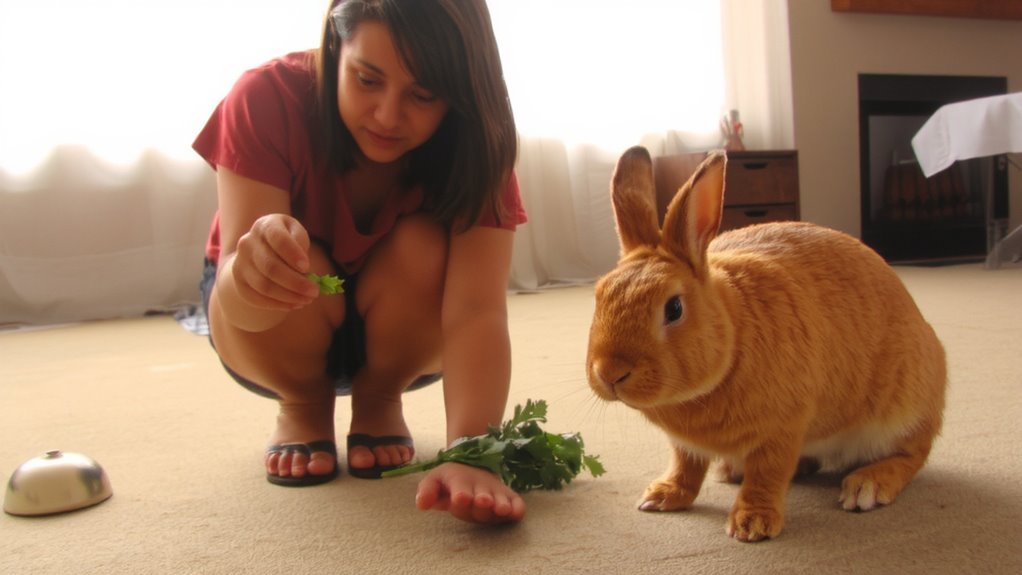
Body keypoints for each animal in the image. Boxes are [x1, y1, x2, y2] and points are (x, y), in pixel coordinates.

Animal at [586, 146, 946, 542]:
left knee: (912, 454)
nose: (610, 373)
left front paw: (752, 524)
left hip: (901, 412)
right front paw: (663, 497)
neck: (734, 333)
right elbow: (686, 466)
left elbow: (768, 474)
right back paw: (734, 470)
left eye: (674, 308)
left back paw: (867, 485)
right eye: (599, 296)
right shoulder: (686, 445)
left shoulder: (783, 428)